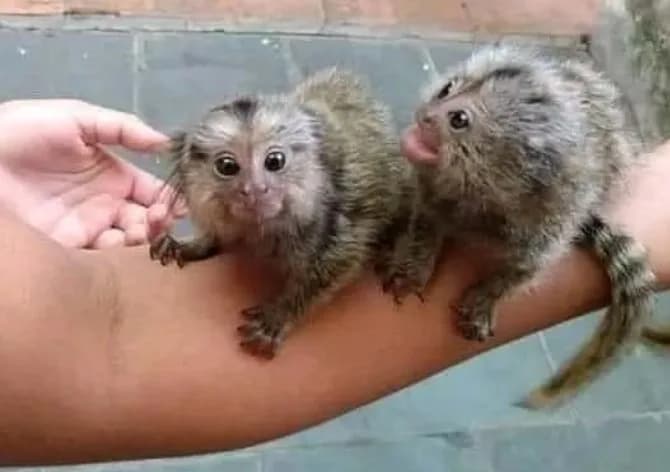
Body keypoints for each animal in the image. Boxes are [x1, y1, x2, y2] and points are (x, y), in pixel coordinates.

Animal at [148, 67, 416, 359]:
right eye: (227, 166)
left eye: (274, 161)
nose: (255, 189)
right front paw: (191, 245)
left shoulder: (336, 217)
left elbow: (338, 262)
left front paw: (280, 314)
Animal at [381, 43, 659, 408]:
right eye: (447, 89)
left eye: (458, 120)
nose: (426, 114)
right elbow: (426, 222)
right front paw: (414, 269)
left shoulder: (550, 222)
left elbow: (525, 270)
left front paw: (486, 298)